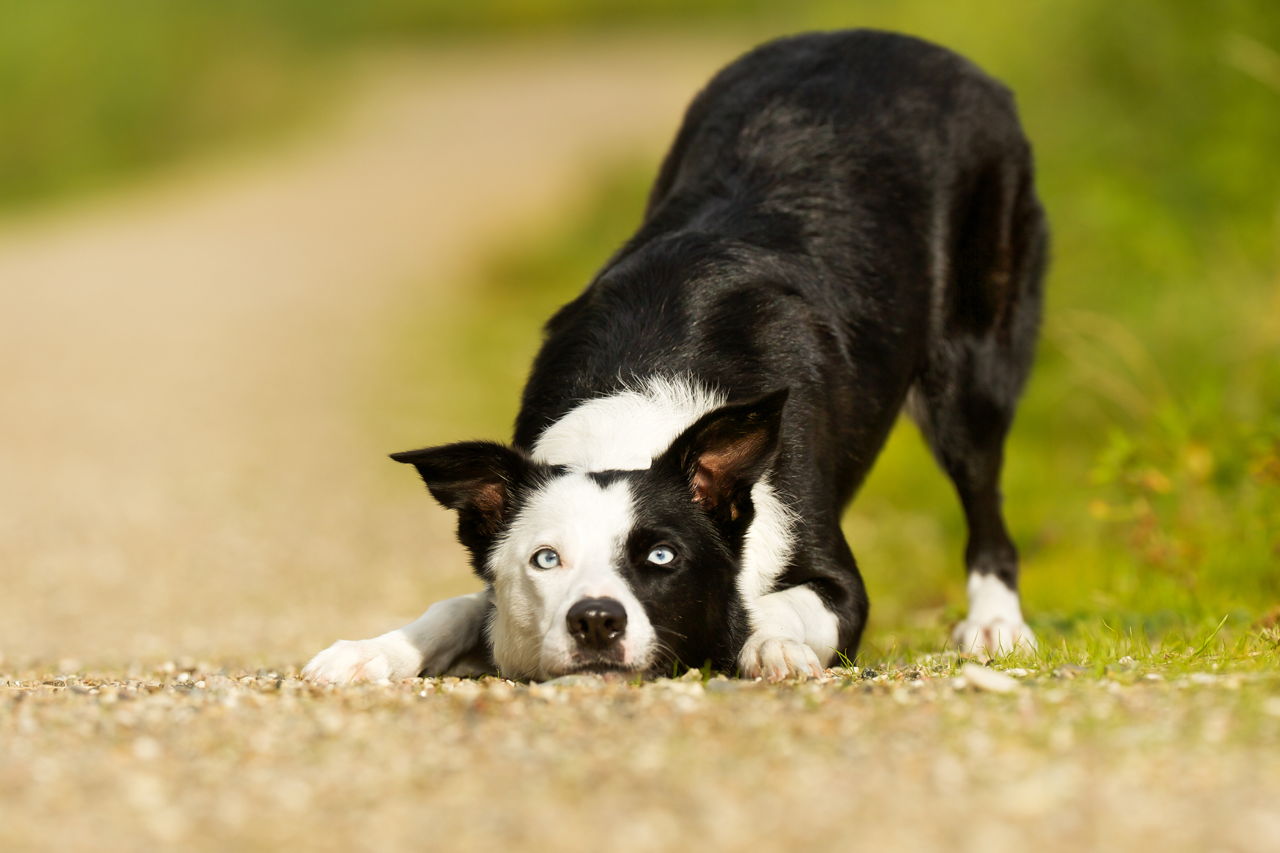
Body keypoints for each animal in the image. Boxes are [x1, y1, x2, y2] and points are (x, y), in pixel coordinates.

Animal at [304, 29, 1044, 686]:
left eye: (662, 555)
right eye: (546, 559)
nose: (595, 619)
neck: (638, 412)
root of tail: (900, 40)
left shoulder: (837, 579)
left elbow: (777, 606)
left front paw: (771, 645)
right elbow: (462, 604)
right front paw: (371, 651)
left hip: (973, 368)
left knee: (985, 499)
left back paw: (995, 624)